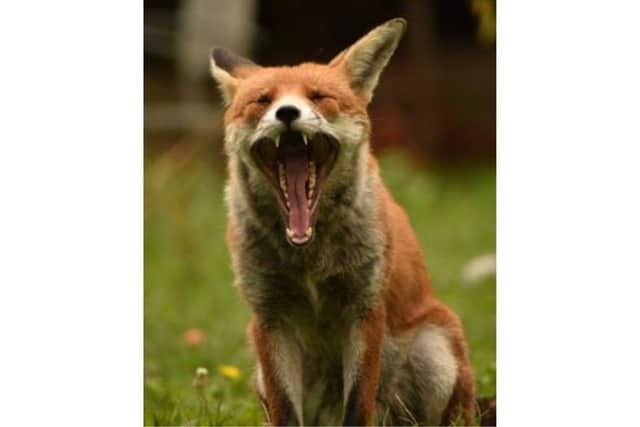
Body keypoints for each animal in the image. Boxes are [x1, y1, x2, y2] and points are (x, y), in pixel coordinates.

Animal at [209, 18, 476, 426]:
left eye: (318, 97)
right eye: (263, 101)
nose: (287, 113)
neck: (309, 257)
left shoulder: (364, 309)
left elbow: (357, 407)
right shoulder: (269, 317)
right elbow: (286, 411)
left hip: (436, 354)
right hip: (260, 371)